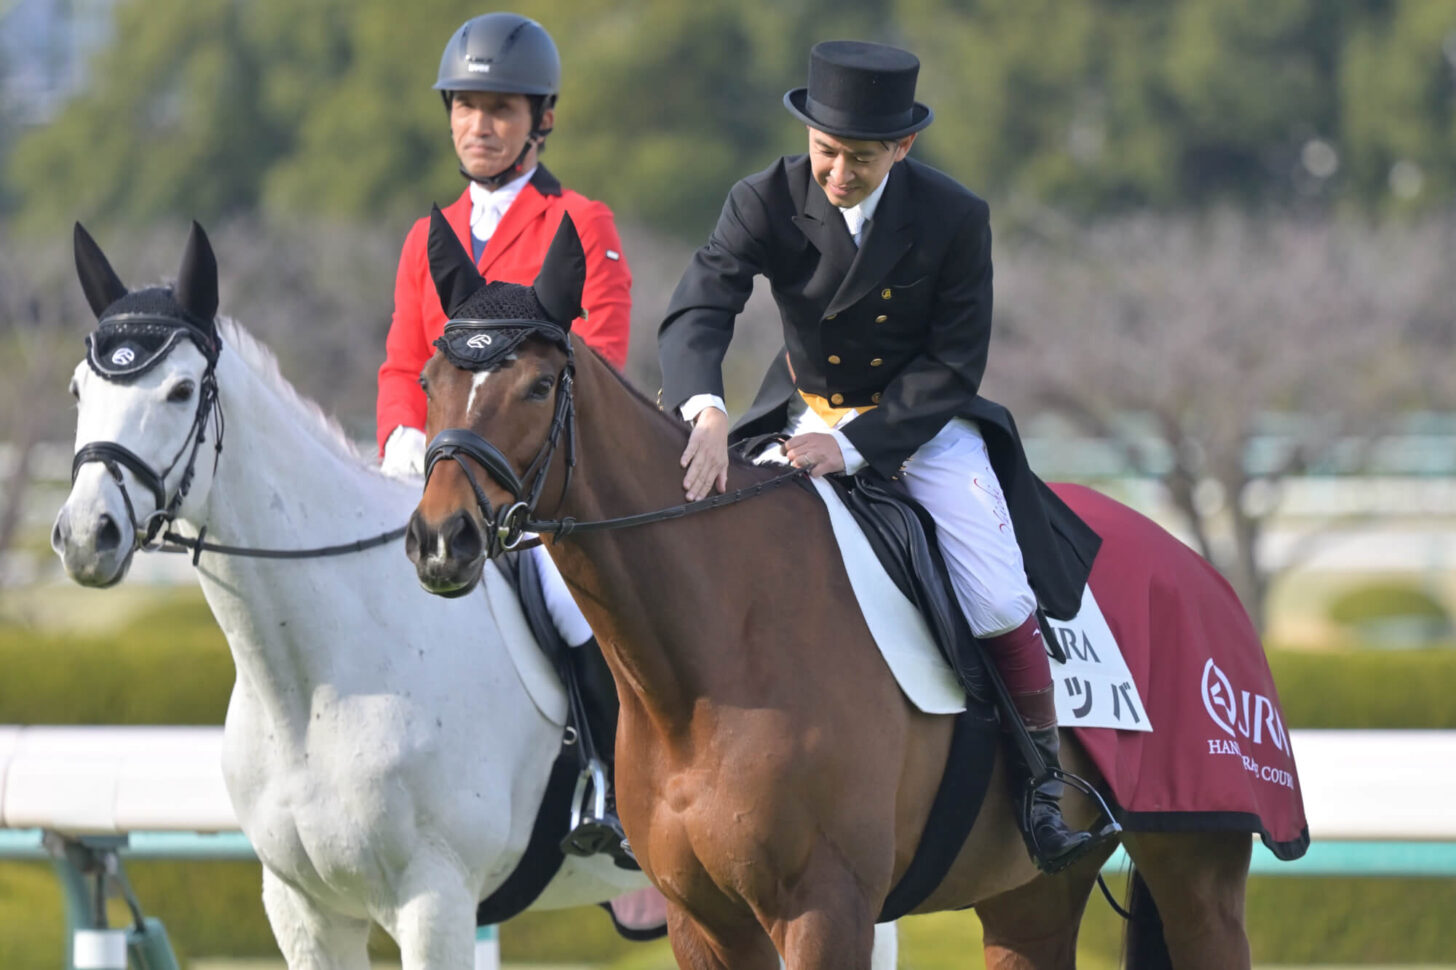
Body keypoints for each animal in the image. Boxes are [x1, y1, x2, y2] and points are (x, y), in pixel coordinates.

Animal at [48, 222, 896, 967]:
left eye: (180, 390)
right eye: (79, 388)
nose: (87, 533)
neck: (317, 687)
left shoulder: (435, 901)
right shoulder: (304, 912)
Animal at [407, 214, 1252, 967]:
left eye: (540, 385)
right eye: (430, 379)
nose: (441, 539)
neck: (706, 663)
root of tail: (1203, 572)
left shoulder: (825, 910)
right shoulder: (704, 924)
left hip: (1200, 872)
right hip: (1029, 895)